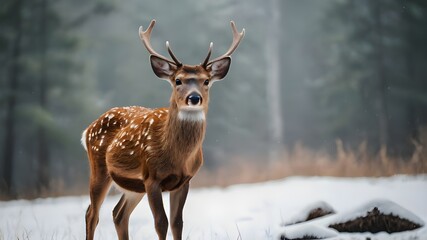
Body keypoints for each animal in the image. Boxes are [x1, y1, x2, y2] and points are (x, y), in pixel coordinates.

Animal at [81, 19, 246, 240]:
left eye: (206, 81)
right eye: (178, 80)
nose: (194, 98)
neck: (177, 158)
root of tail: (88, 129)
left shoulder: (184, 181)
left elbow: (177, 223)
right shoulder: (152, 177)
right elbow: (161, 223)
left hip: (134, 187)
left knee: (118, 213)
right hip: (99, 168)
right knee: (92, 214)